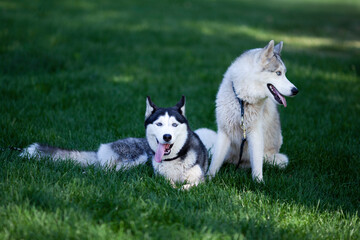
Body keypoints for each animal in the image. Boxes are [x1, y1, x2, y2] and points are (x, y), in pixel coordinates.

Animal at [207, 40, 300, 181]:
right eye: (278, 73)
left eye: (284, 73)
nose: (295, 90)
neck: (242, 101)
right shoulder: (224, 132)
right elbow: (215, 161)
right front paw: (208, 178)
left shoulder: (255, 134)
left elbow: (256, 164)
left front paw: (258, 182)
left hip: (278, 159)